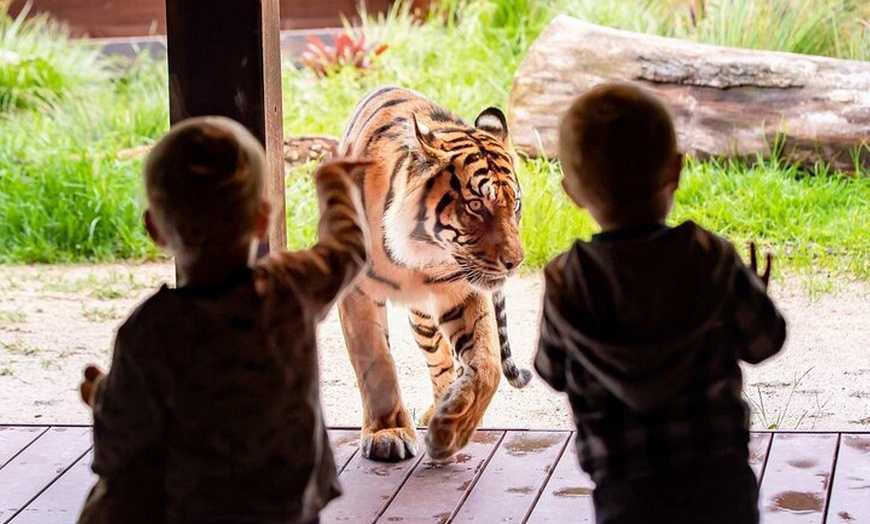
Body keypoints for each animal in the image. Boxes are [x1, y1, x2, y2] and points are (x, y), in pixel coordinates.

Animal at [338, 87, 532, 462]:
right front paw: (386, 434)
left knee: (445, 360)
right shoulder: (358, 292)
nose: (515, 262)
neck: (419, 253)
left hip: (425, 317)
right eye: (476, 205)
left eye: (515, 204)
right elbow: (376, 361)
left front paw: (451, 431)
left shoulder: (462, 290)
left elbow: (486, 363)